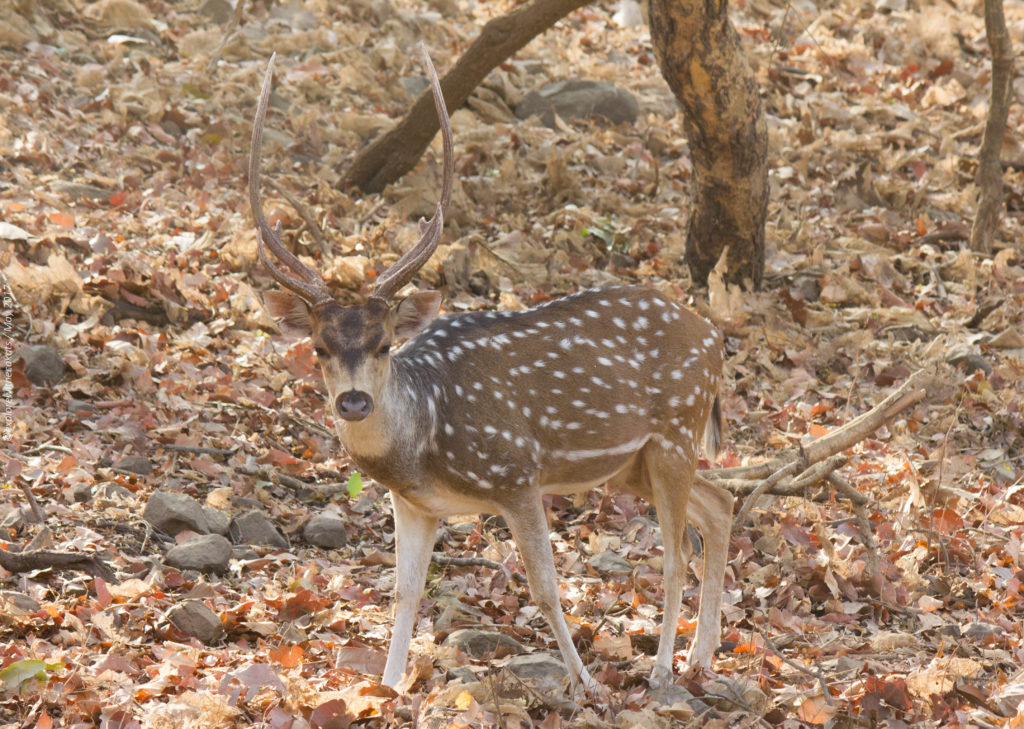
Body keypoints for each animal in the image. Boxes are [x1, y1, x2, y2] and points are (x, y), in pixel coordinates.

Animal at [245, 48, 729, 692]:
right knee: (720, 504)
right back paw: (701, 657)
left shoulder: (516, 474)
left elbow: (546, 587)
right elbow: (404, 593)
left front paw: (587, 684)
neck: (424, 441)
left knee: (677, 553)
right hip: (634, 463)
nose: (353, 402)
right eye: (320, 347)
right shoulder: (415, 504)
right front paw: (388, 688)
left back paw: (660, 671)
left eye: (384, 344)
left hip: (676, 427)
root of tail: (714, 337)